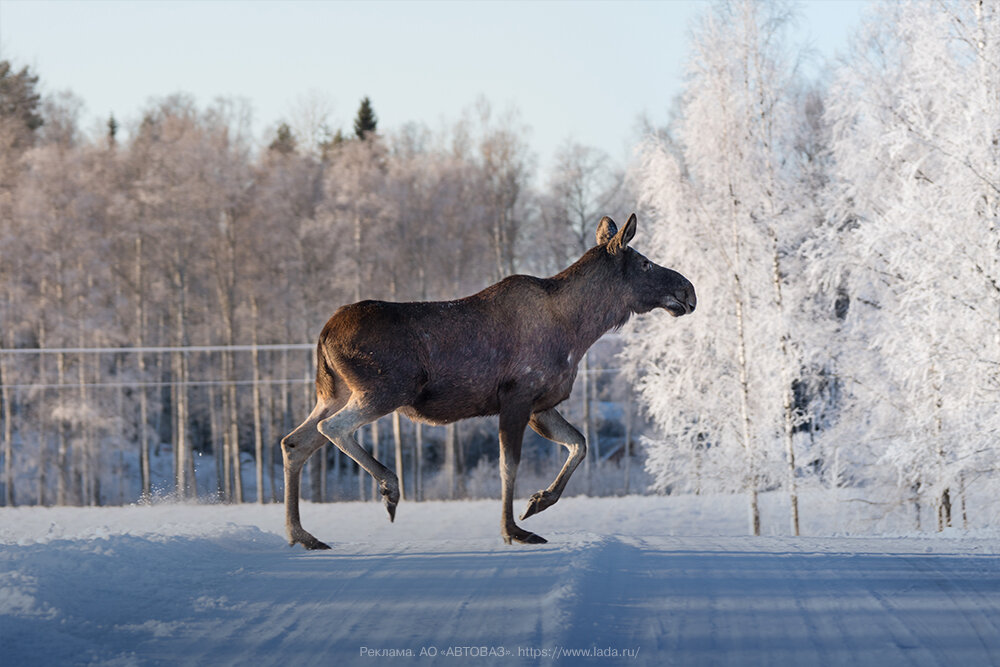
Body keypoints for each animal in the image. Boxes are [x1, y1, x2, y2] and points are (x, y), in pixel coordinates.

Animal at [282, 213, 696, 548]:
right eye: (645, 262)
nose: (688, 290)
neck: (581, 330)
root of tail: (324, 334)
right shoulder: (517, 396)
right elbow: (508, 465)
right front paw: (513, 530)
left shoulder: (540, 405)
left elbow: (579, 443)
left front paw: (538, 502)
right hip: (386, 389)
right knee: (333, 428)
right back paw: (389, 487)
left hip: (333, 393)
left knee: (294, 442)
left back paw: (301, 534)